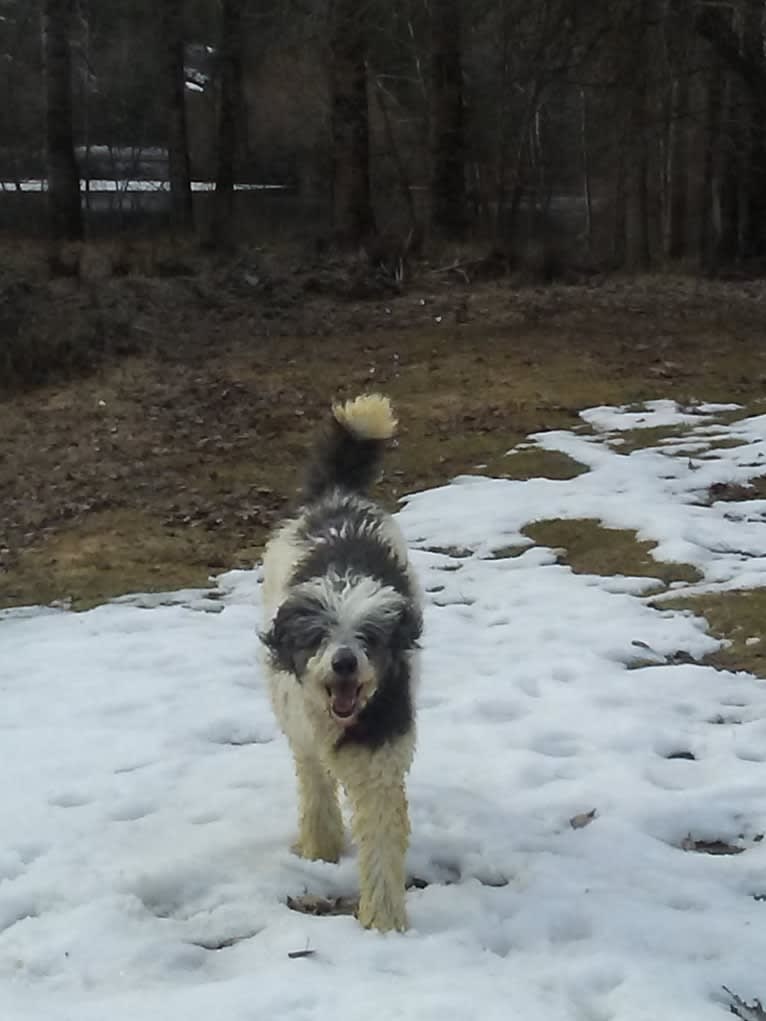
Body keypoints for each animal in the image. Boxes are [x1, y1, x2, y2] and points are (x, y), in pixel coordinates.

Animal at [261, 392, 422, 935]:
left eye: (368, 636)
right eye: (319, 635)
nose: (346, 664)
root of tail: (338, 495)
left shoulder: (381, 754)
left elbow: (381, 838)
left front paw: (383, 921)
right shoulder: (304, 732)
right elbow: (314, 787)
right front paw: (320, 849)